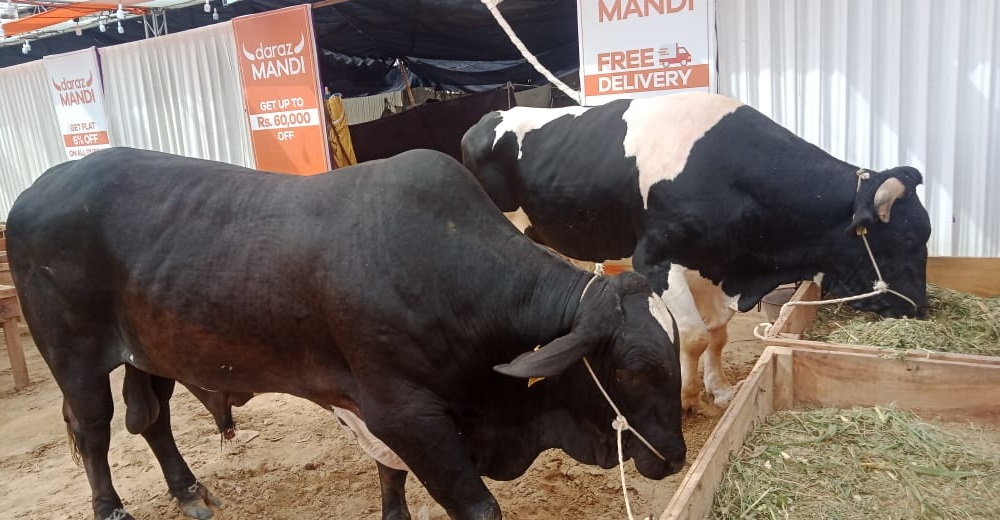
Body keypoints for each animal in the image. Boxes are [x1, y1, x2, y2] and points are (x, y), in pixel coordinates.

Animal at [5, 147, 686, 520]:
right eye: (633, 369)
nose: (677, 456)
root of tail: (39, 185)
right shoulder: (406, 412)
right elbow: (475, 503)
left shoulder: (385, 414)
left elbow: (390, 477)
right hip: (75, 358)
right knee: (94, 431)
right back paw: (111, 507)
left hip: (150, 353)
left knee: (151, 419)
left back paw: (189, 491)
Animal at [461, 91, 932, 414]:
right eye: (908, 238)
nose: (920, 308)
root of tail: (487, 118)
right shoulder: (656, 260)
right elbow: (693, 335)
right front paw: (686, 398)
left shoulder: (713, 268)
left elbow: (717, 334)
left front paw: (719, 389)